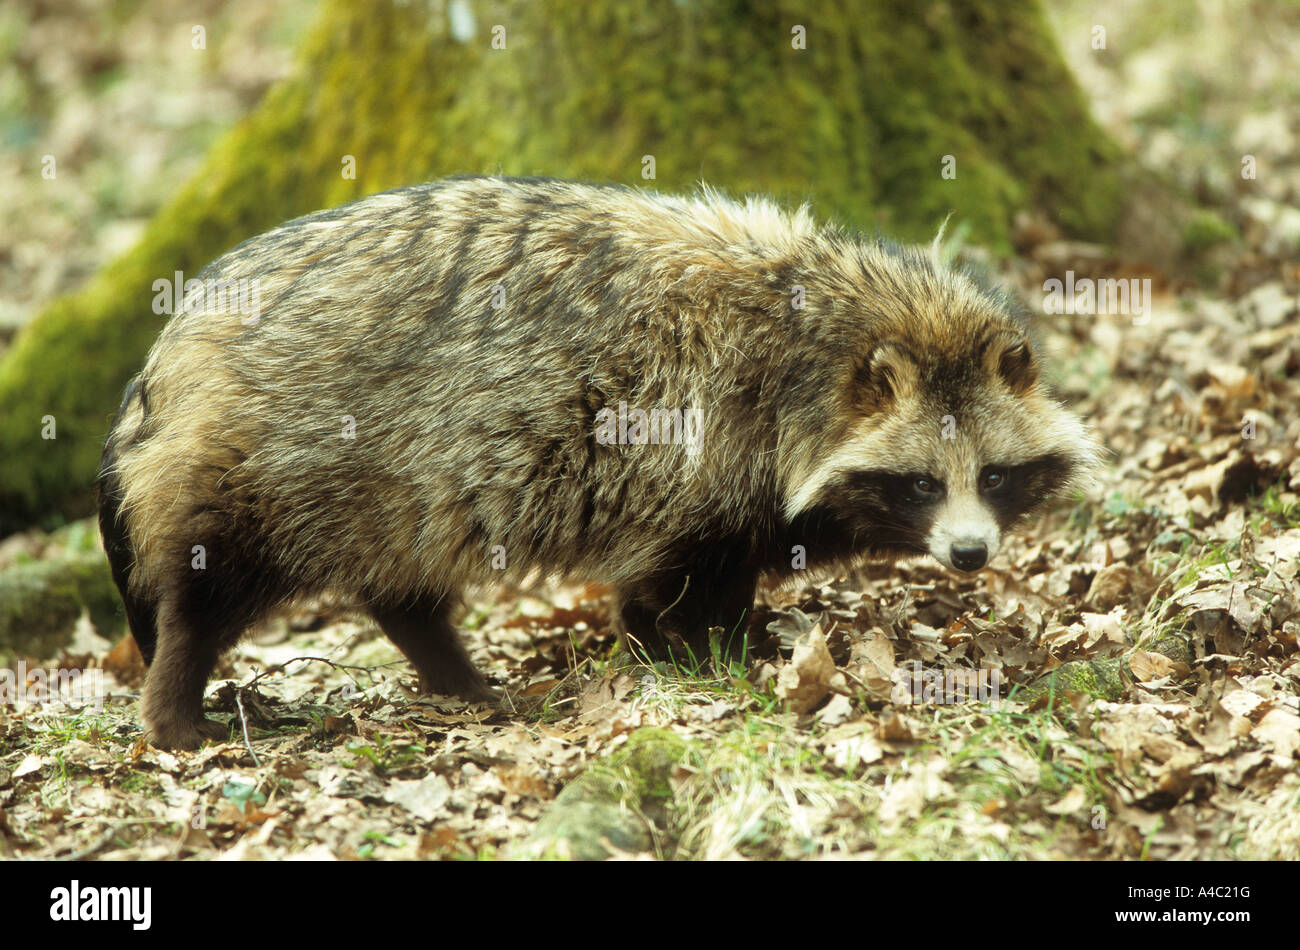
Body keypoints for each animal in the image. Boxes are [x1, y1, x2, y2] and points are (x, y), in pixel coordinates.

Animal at [98, 176, 1100, 749]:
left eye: (993, 476)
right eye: (923, 482)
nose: (970, 553)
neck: (820, 340)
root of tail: (172, 343)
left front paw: (686, 648)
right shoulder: (703, 443)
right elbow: (681, 580)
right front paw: (714, 654)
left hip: (387, 480)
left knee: (401, 579)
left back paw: (454, 673)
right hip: (276, 453)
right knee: (211, 585)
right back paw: (175, 702)